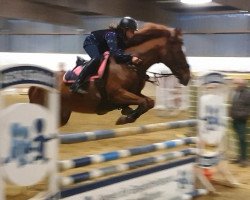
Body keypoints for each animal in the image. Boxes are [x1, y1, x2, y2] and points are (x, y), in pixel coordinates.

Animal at [28, 23, 189, 126]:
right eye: (178, 51)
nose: (187, 76)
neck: (127, 64)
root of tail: (34, 87)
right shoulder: (116, 93)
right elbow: (143, 102)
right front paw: (124, 119)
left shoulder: (134, 92)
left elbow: (149, 102)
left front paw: (127, 113)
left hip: (62, 115)